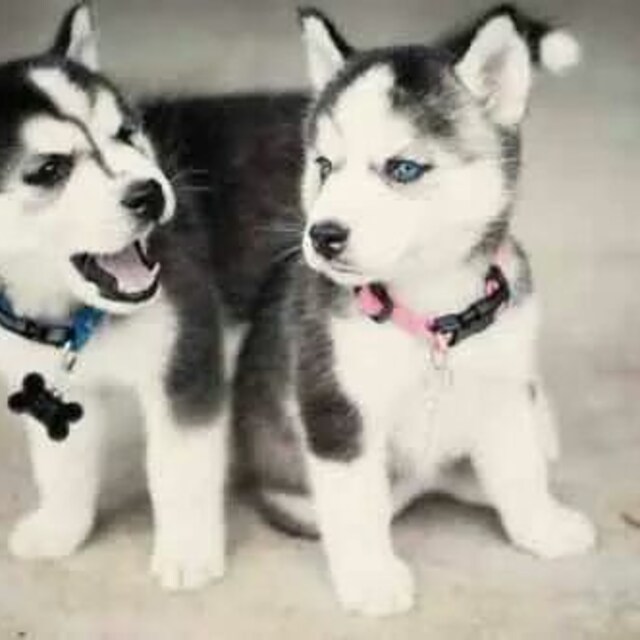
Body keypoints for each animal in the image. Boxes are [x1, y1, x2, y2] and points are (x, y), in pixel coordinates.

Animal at [234, 5, 595, 616]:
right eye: (325, 166)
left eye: (403, 169)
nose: (322, 235)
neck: (433, 313)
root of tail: (424, 483)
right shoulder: (337, 407)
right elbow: (355, 504)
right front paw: (371, 577)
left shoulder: (503, 386)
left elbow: (519, 468)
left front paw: (540, 526)